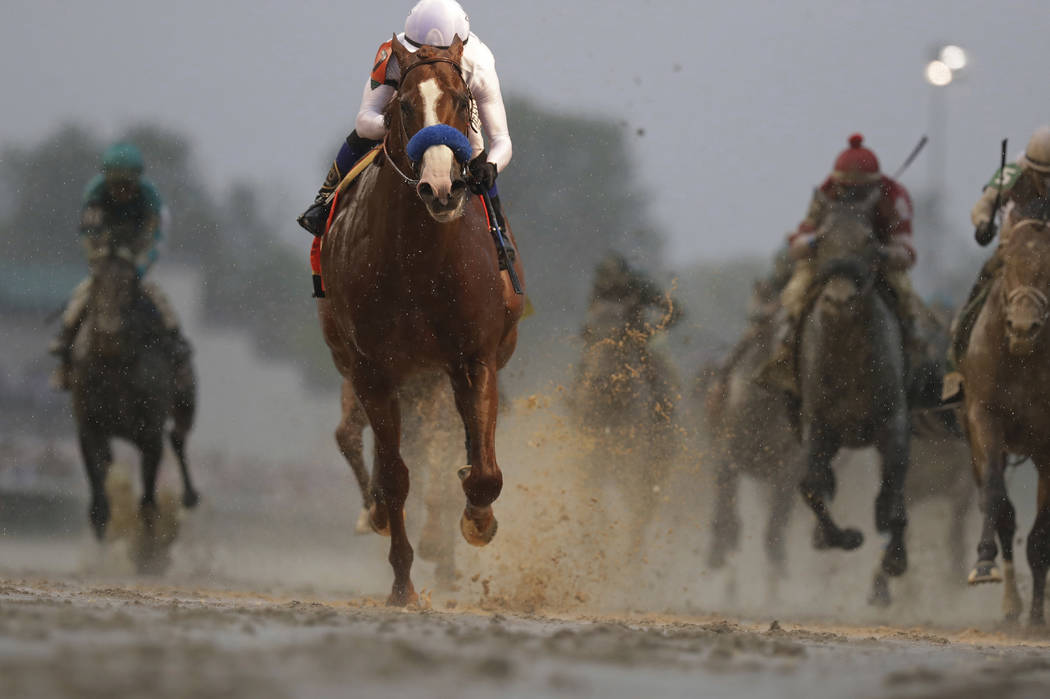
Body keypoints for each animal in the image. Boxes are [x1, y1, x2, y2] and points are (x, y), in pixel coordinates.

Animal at [312, 38, 522, 604]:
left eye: (461, 100)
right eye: (404, 105)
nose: (441, 187)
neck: (420, 261)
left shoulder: (474, 357)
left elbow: (487, 472)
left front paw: (479, 521)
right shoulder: (373, 368)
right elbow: (395, 475)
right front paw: (402, 583)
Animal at [793, 188, 911, 575]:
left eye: (870, 240)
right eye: (820, 239)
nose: (840, 299)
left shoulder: (893, 420)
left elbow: (893, 487)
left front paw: (895, 556)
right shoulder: (818, 425)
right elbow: (810, 485)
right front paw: (843, 537)